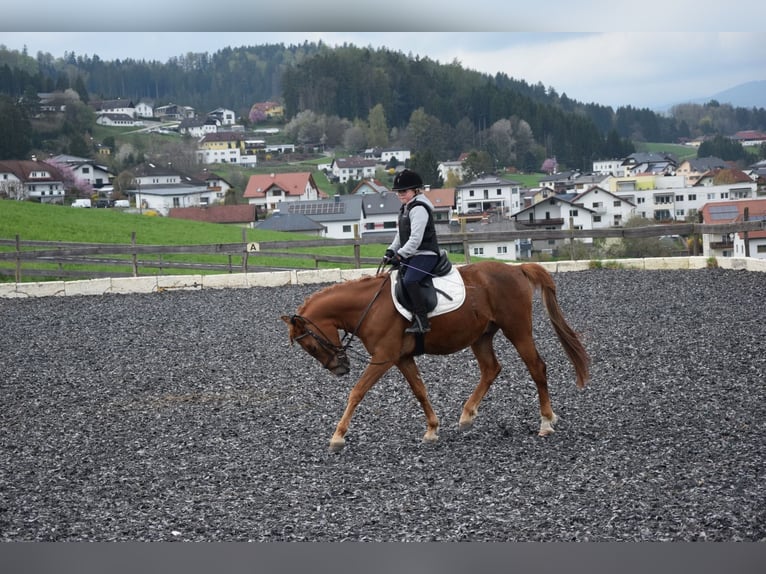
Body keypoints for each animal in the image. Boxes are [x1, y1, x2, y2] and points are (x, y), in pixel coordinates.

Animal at [281, 260, 590, 452]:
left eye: (311, 346)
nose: (339, 368)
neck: (369, 306)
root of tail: (517, 269)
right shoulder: (401, 357)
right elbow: (420, 391)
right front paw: (432, 429)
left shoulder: (384, 357)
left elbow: (357, 392)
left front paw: (337, 437)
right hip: (481, 336)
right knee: (491, 369)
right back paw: (467, 416)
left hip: (517, 329)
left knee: (537, 367)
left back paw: (546, 422)